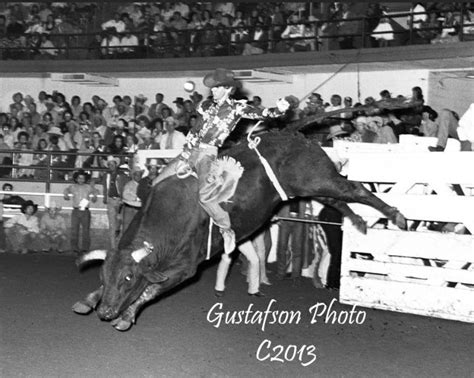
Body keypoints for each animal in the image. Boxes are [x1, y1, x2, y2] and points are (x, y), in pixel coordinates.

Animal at [74, 131, 408, 330]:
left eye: (129, 277)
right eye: (104, 275)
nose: (106, 313)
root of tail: (298, 136)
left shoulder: (185, 268)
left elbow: (151, 290)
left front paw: (127, 316)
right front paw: (89, 300)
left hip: (319, 177)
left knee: (355, 188)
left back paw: (397, 216)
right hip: (309, 186)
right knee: (338, 200)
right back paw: (360, 221)